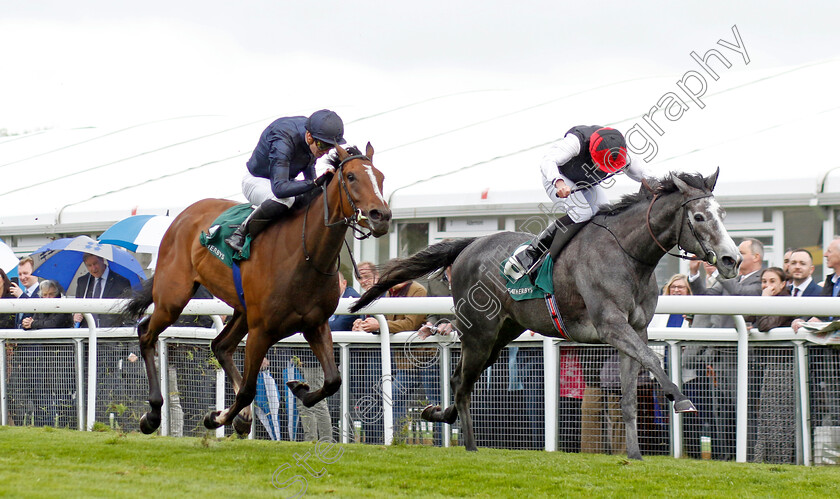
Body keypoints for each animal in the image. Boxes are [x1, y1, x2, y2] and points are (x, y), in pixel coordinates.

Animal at [123, 143, 392, 436]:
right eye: (352, 176)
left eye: (381, 177)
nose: (381, 216)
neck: (305, 255)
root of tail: (182, 215)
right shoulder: (261, 330)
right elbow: (248, 390)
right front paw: (217, 418)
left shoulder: (315, 324)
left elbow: (333, 380)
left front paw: (298, 389)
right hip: (173, 297)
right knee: (147, 333)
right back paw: (152, 414)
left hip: (241, 310)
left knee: (220, 346)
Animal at [352, 170, 740, 458]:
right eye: (700, 216)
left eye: (723, 215)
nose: (732, 259)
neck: (629, 256)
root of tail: (469, 245)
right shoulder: (611, 326)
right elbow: (653, 360)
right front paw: (682, 400)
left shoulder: (636, 329)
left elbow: (632, 390)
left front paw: (633, 454)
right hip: (479, 333)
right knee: (461, 381)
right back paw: (471, 445)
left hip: (501, 336)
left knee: (459, 378)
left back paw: (441, 416)